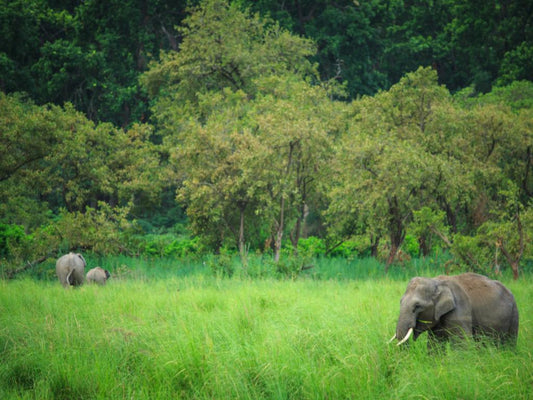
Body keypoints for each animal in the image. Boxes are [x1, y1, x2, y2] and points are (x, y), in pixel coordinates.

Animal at [388, 272, 516, 346]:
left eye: (417, 306)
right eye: (400, 302)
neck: (437, 282)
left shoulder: (460, 309)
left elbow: (462, 343)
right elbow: (435, 345)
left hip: (514, 316)